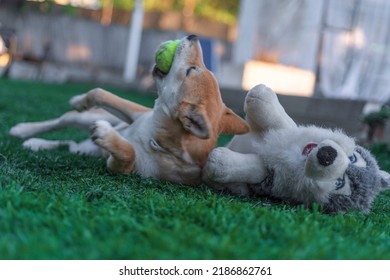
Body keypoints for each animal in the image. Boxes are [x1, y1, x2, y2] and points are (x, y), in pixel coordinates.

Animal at [9, 35, 250, 186]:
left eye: (192, 70)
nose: (193, 36)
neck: (154, 135)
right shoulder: (136, 112)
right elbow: (100, 92)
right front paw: (79, 100)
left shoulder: (124, 170)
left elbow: (128, 152)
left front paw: (108, 137)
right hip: (88, 118)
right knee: (64, 121)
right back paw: (24, 130)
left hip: (85, 148)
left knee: (69, 145)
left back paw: (37, 143)